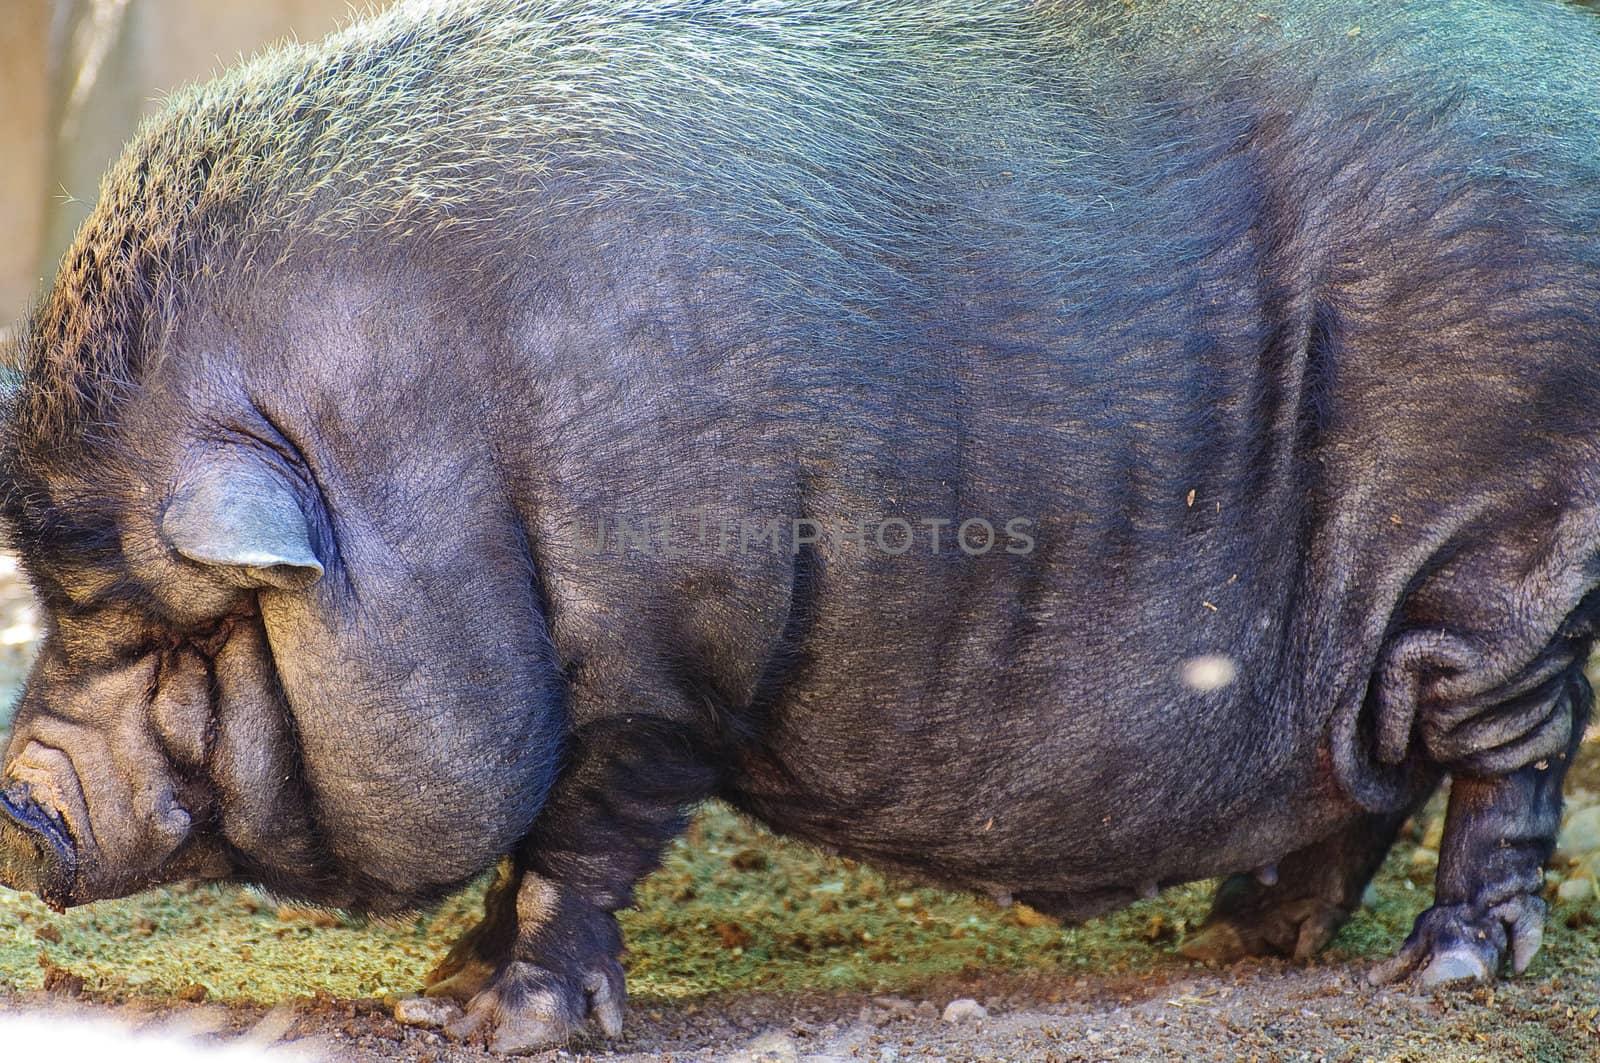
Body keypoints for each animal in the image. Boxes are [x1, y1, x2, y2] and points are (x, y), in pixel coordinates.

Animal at [3, 0, 1600, 1050]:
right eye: (57, 595)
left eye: (178, 622)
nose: (17, 808)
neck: (443, 469)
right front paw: (442, 986)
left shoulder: (662, 679)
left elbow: (573, 844)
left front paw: (505, 1022)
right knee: (1368, 769)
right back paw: (1239, 936)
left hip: (1496, 552)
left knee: (1507, 751)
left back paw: (1441, 973)